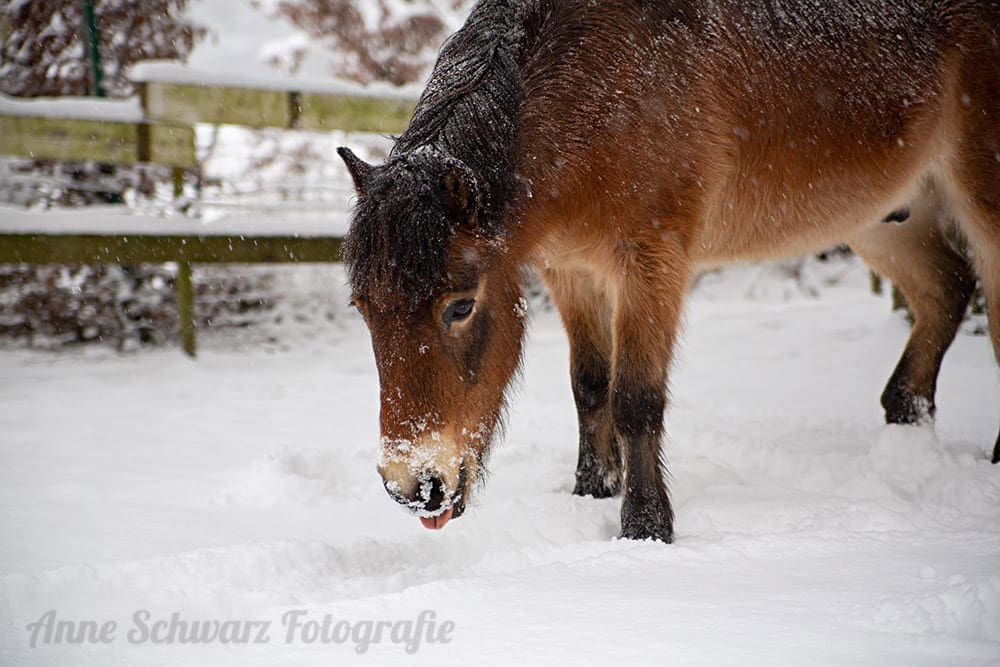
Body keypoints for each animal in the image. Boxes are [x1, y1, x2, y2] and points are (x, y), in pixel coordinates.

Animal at [338, 0, 1000, 542]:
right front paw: (591, 491)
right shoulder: (571, 268)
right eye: (363, 309)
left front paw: (646, 528)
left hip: (979, 201)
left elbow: (635, 396)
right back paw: (906, 423)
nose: (413, 485)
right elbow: (590, 385)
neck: (598, 85)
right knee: (945, 291)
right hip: (886, 218)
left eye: (460, 305)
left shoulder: (652, 260)